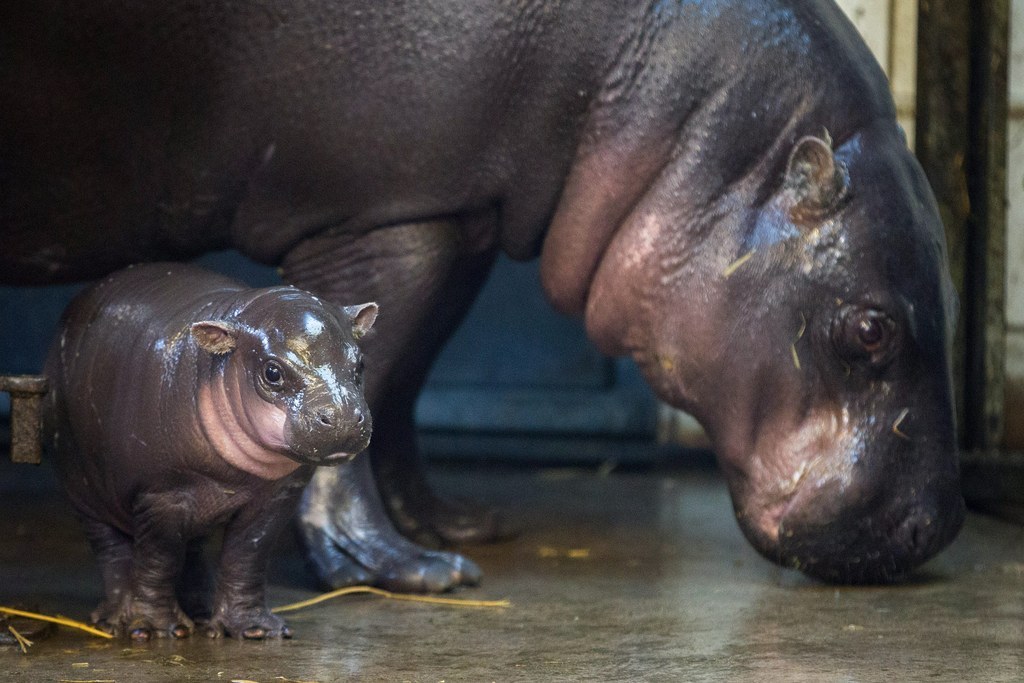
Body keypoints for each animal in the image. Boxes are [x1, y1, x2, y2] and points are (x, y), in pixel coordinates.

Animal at [4, 1, 958, 589]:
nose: (937, 530)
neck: (696, 134)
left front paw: (451, 526)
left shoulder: (456, 216)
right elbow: (365, 377)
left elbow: (399, 375)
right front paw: (404, 569)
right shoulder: (388, 214)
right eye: (870, 328)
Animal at [46, 262, 378, 643]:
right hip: (84, 492)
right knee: (113, 551)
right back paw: (114, 620)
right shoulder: (161, 494)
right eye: (272, 372)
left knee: (191, 551)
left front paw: (255, 629)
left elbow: (248, 554)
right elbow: (158, 558)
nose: (342, 418)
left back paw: (201, 614)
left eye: (360, 364)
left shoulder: (277, 496)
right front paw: (156, 629)